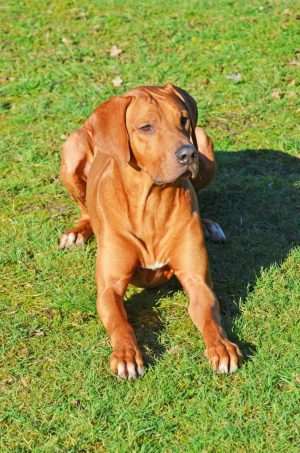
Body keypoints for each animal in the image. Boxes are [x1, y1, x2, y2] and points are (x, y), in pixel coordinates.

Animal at [59, 84, 243, 378]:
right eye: (146, 127)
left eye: (183, 120)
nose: (187, 154)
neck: (152, 202)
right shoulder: (109, 288)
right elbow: (121, 322)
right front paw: (126, 355)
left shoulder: (197, 281)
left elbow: (210, 316)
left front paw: (222, 346)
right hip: (71, 149)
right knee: (84, 207)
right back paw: (78, 231)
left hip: (204, 142)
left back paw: (208, 224)